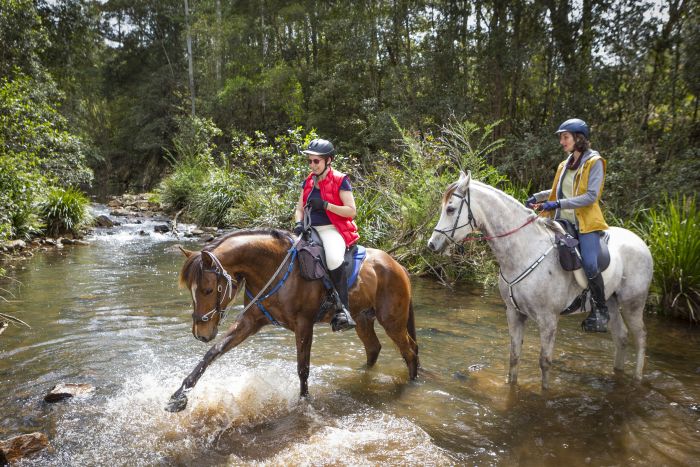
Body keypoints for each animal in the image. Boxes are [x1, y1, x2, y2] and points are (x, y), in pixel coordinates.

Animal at [164, 229, 416, 412]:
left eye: (207, 290)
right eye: (191, 291)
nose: (201, 333)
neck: (273, 267)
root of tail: (397, 265)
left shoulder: (304, 325)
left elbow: (302, 368)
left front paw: (304, 403)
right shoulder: (250, 322)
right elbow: (212, 353)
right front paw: (178, 397)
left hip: (392, 321)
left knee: (410, 350)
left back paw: (412, 385)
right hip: (363, 320)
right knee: (374, 348)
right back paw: (361, 374)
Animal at [430, 170, 652, 390]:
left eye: (450, 209)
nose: (432, 244)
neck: (523, 252)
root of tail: (641, 242)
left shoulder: (548, 319)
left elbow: (545, 363)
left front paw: (545, 393)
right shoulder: (514, 313)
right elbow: (514, 358)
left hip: (632, 304)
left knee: (641, 338)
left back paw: (637, 379)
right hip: (611, 301)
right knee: (621, 338)